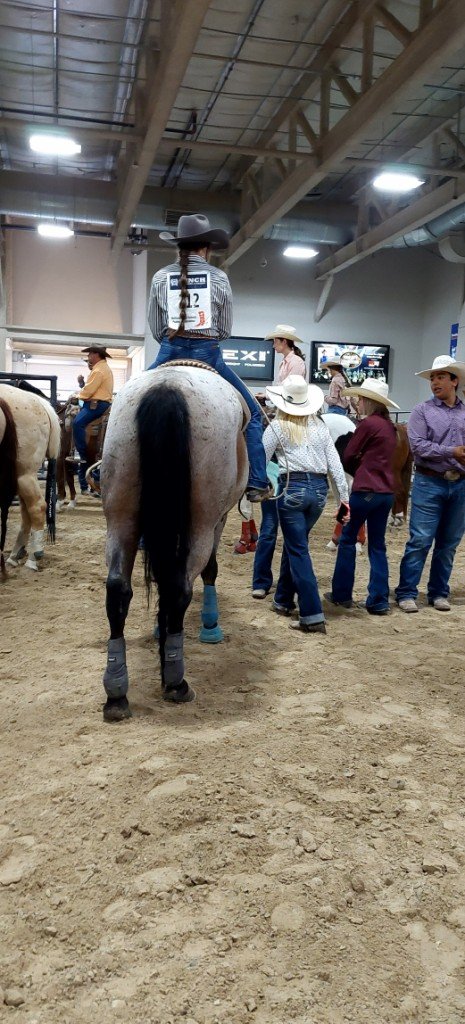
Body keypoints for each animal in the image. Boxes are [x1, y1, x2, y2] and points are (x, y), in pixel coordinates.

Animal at [0, 384, 60, 573]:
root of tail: (40, 403)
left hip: (24, 474)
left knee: (37, 507)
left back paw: (33, 557)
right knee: (26, 512)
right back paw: (14, 555)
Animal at [100, 364, 248, 722]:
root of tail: (168, 388)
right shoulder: (219, 520)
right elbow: (210, 570)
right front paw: (210, 625)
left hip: (121, 515)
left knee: (118, 589)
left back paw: (116, 693)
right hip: (202, 522)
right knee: (179, 588)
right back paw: (176, 681)